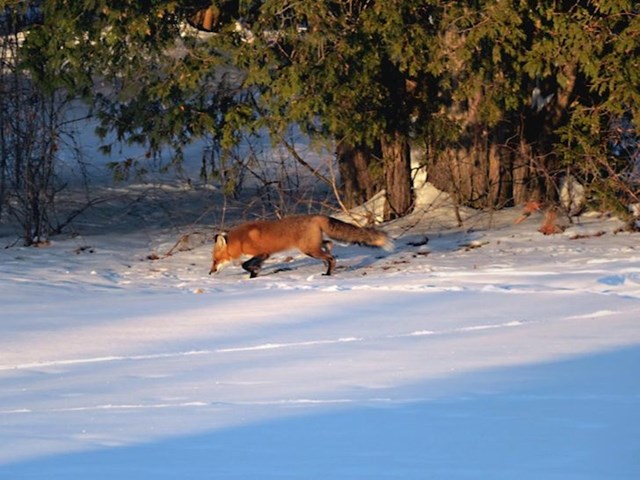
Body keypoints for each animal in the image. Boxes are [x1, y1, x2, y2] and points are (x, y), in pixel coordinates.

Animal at [210, 214, 392, 278]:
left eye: (214, 260)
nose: (210, 272)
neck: (240, 240)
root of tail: (316, 216)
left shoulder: (263, 253)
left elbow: (245, 264)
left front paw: (253, 273)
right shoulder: (263, 256)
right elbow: (251, 266)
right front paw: (254, 275)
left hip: (309, 249)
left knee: (331, 257)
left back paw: (328, 273)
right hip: (313, 246)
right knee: (329, 244)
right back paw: (326, 264)